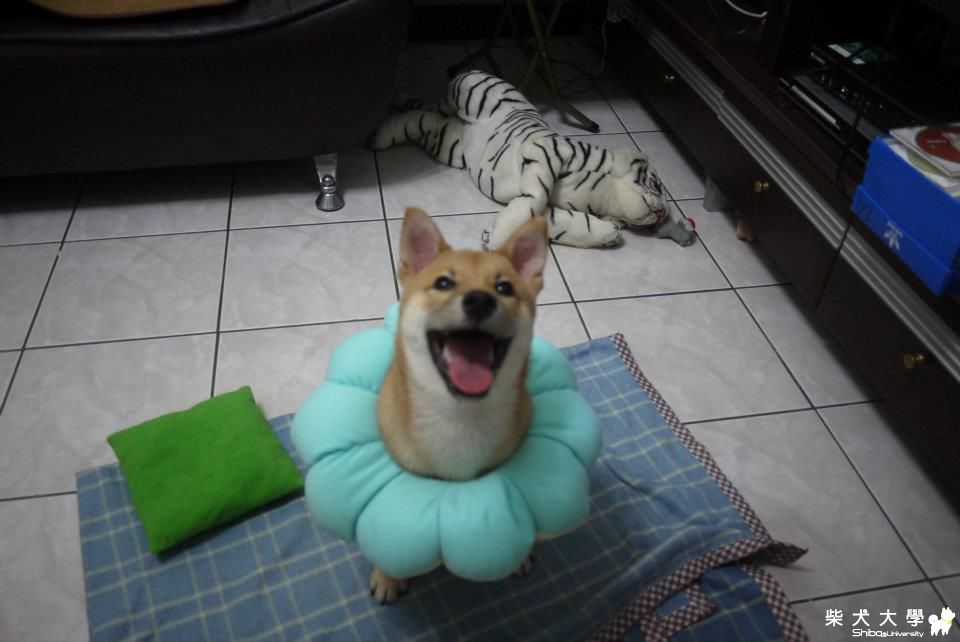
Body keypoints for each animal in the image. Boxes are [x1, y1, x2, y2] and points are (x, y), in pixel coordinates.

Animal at [372, 206, 548, 603]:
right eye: (443, 284)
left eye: (504, 288)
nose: (480, 300)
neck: (460, 417)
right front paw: (387, 576)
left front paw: (519, 556)